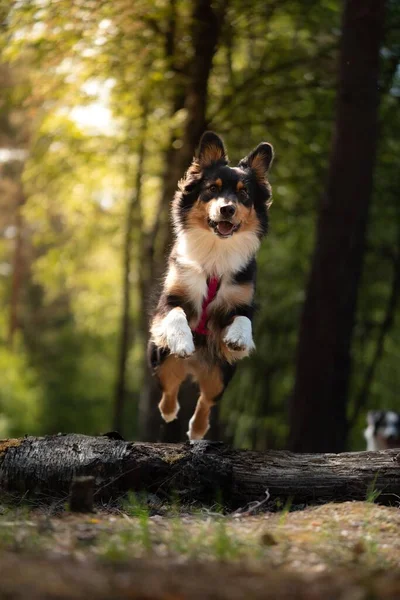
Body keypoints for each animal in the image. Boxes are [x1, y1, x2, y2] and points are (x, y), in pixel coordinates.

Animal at [148, 132, 274, 440]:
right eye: (212, 189)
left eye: (244, 193)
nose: (226, 208)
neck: (216, 251)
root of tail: (195, 366)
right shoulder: (169, 300)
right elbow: (176, 315)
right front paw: (183, 340)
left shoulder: (243, 299)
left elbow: (243, 319)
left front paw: (239, 338)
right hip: (161, 360)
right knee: (168, 392)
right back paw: (170, 410)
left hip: (220, 372)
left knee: (206, 399)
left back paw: (196, 430)